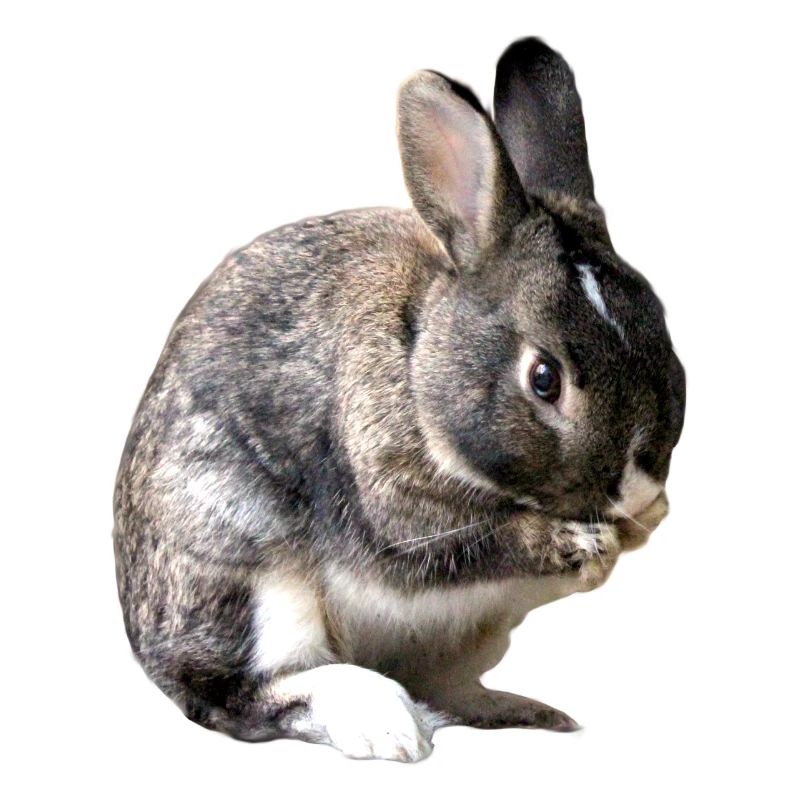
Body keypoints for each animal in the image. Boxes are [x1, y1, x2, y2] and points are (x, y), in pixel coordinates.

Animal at [113, 37, 686, 762]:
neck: (419, 360)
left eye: (659, 320)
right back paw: (385, 724)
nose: (637, 492)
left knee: (444, 686)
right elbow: (452, 547)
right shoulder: (392, 505)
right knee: (240, 696)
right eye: (544, 377)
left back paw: (526, 712)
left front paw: (642, 523)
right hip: (248, 573)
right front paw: (581, 539)